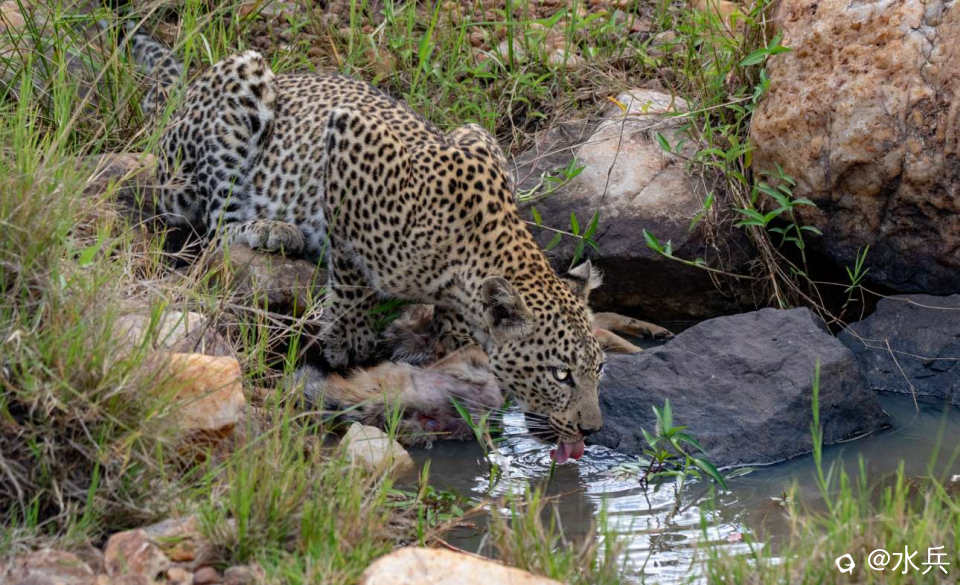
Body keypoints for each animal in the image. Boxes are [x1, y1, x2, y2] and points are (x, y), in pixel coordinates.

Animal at [128, 29, 610, 462]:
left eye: (599, 368)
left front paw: (446, 341)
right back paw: (270, 229)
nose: (592, 429)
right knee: (213, 220)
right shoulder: (347, 142)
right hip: (240, 84)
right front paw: (347, 338)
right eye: (560, 374)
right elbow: (349, 271)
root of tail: (180, 106)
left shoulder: (475, 134)